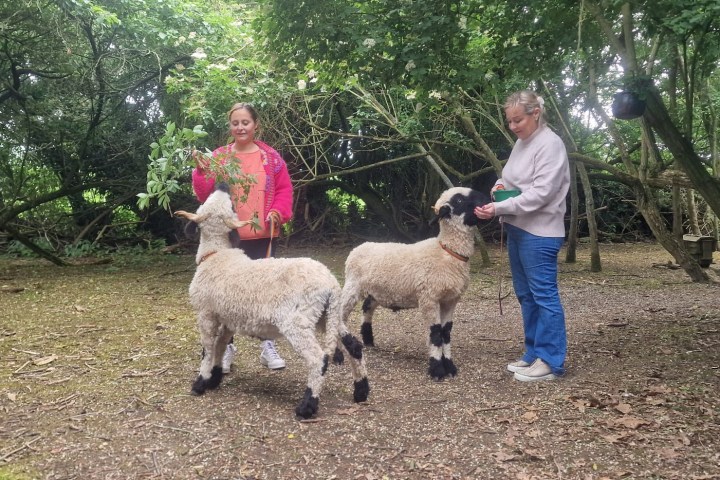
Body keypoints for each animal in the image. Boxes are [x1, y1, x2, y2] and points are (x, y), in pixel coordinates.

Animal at [174, 184, 369, 419]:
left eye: (231, 204)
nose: (222, 185)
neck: (216, 256)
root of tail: (330, 284)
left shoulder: (206, 313)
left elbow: (208, 348)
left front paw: (200, 383)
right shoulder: (229, 318)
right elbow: (221, 346)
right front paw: (214, 378)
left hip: (298, 320)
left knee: (318, 358)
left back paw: (307, 406)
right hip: (327, 315)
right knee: (354, 346)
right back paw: (361, 391)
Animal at [339, 187, 489, 381]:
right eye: (459, 201)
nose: (487, 198)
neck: (448, 252)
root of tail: (359, 247)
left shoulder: (451, 299)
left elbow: (446, 332)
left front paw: (450, 366)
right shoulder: (429, 298)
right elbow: (435, 333)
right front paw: (437, 369)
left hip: (376, 290)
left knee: (367, 307)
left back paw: (368, 340)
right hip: (352, 285)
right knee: (339, 314)